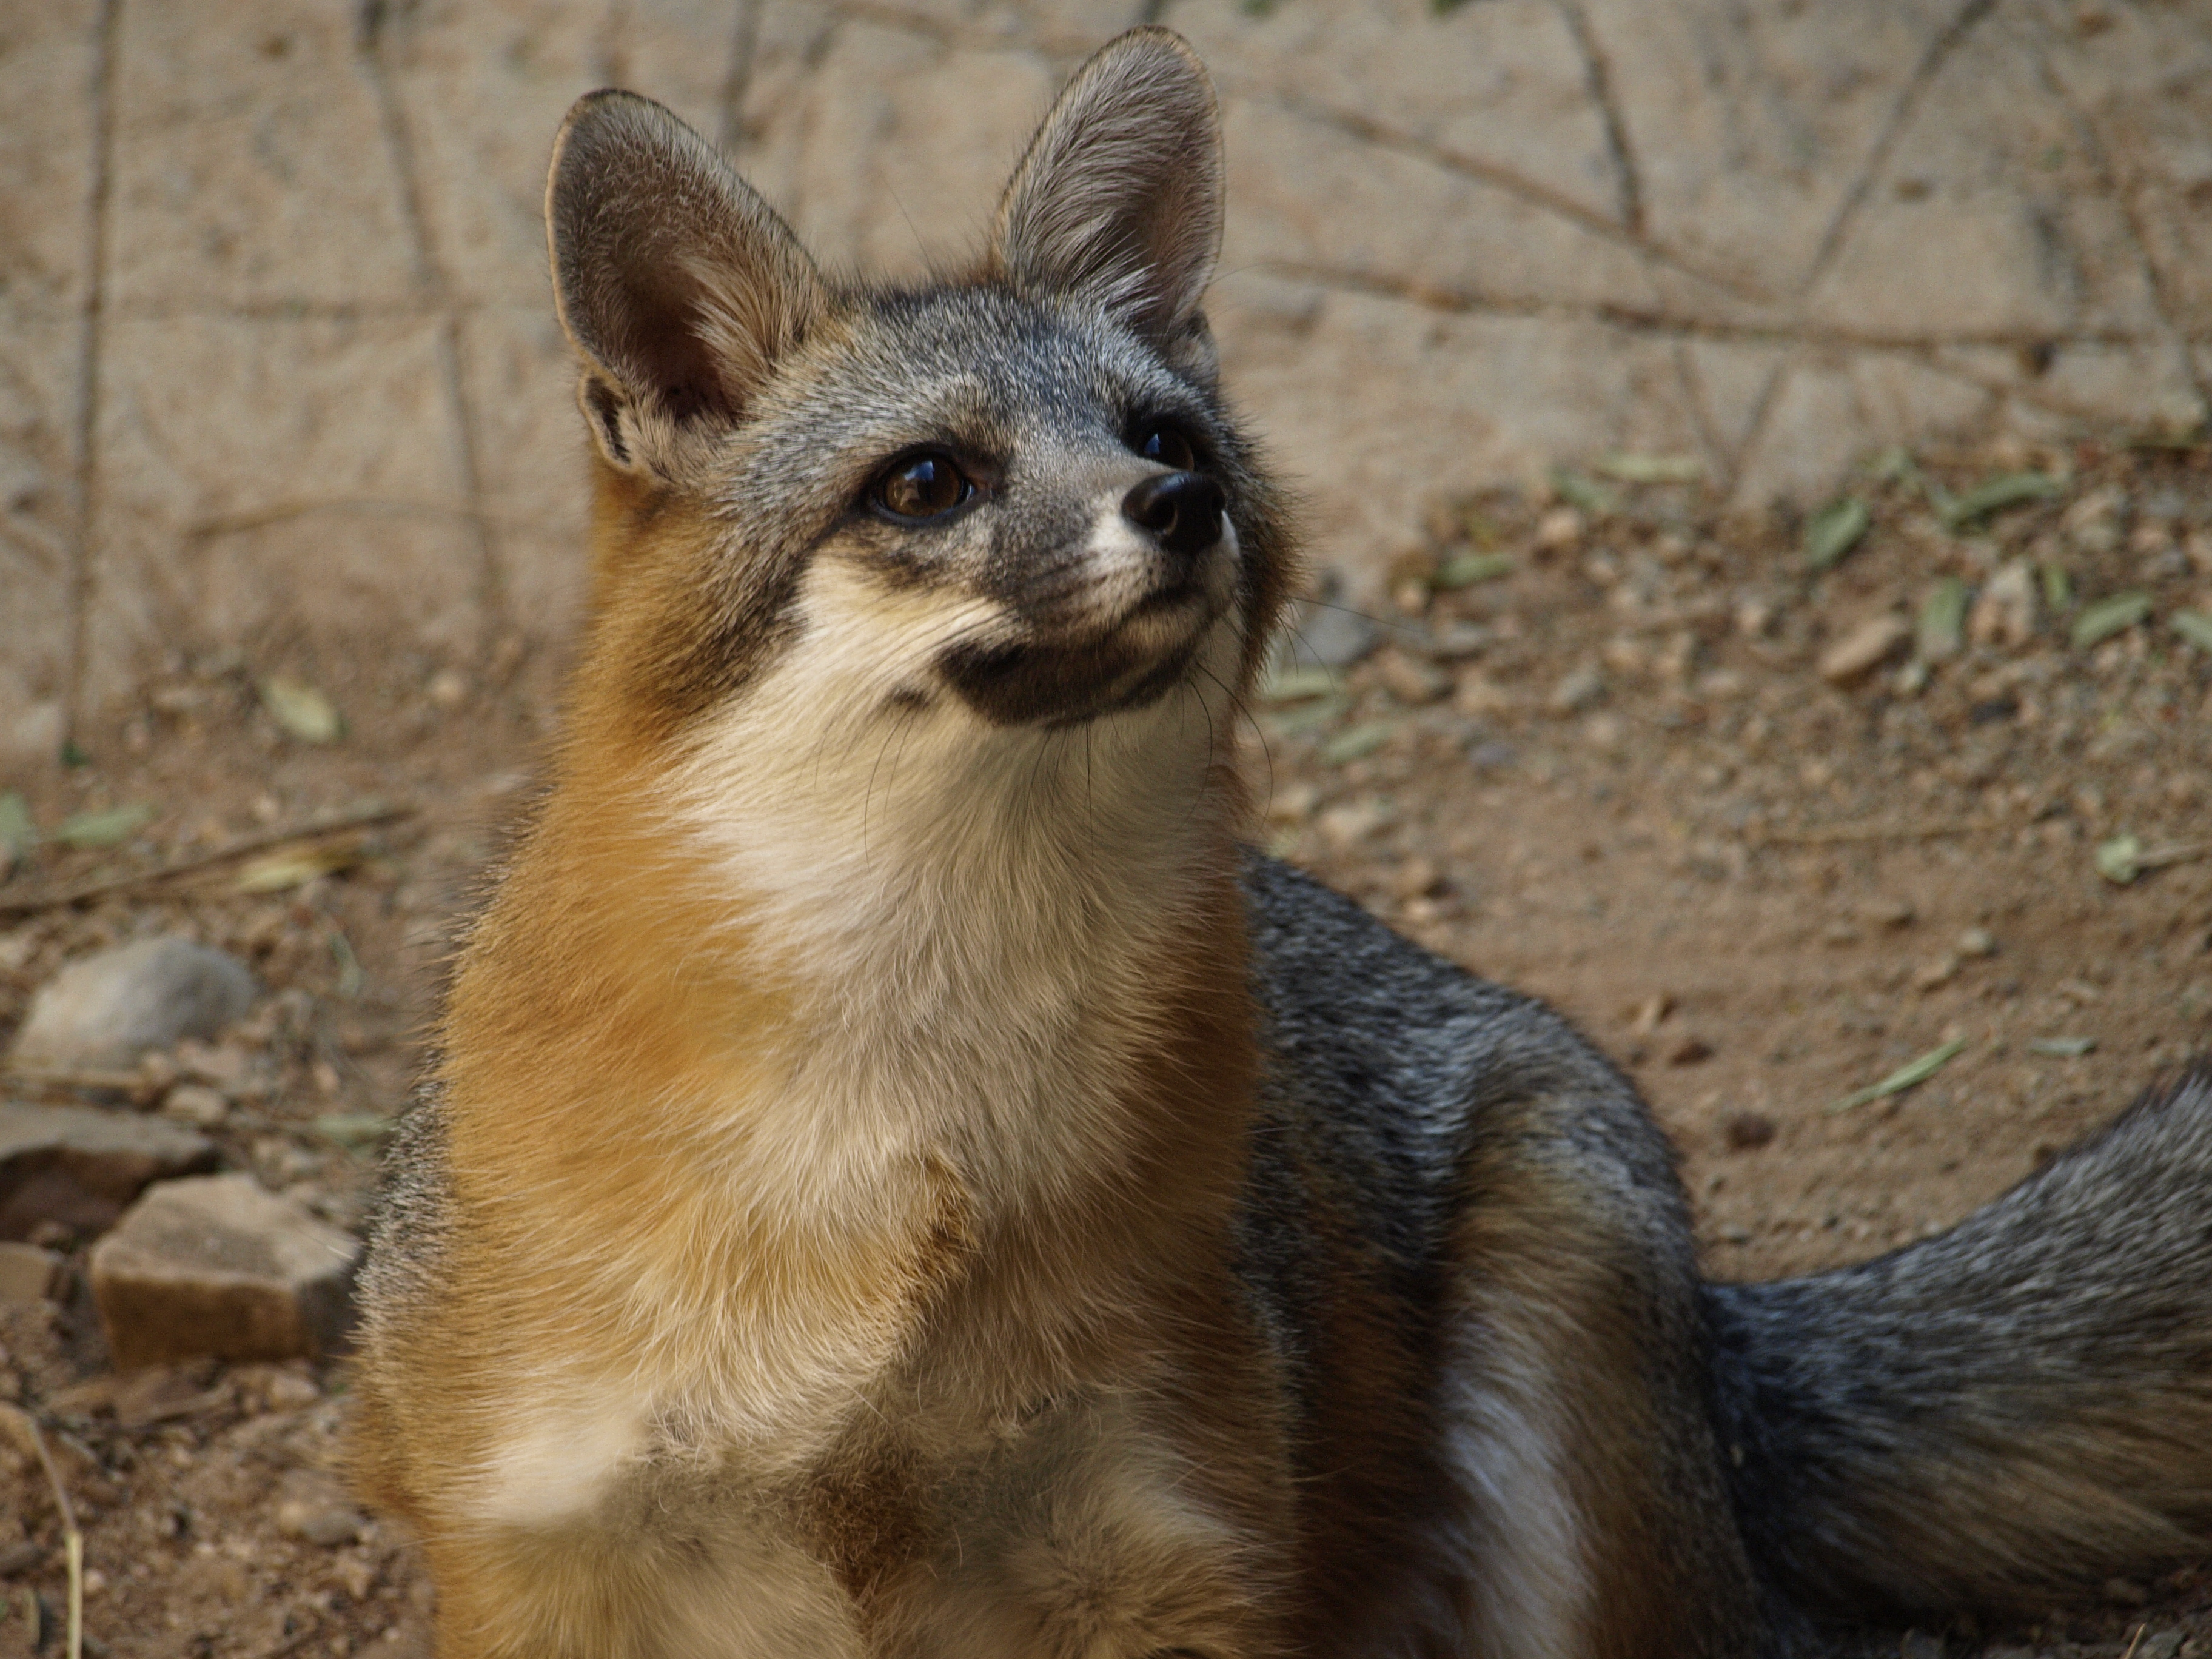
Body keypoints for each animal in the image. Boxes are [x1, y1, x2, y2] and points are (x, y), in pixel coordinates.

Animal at [350, 26, 2212, 1659]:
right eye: (927, 483)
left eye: (1164, 436)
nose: (1187, 510)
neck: (897, 1099)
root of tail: (1717, 1333)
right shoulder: (551, 1554)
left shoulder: (1166, 1540)